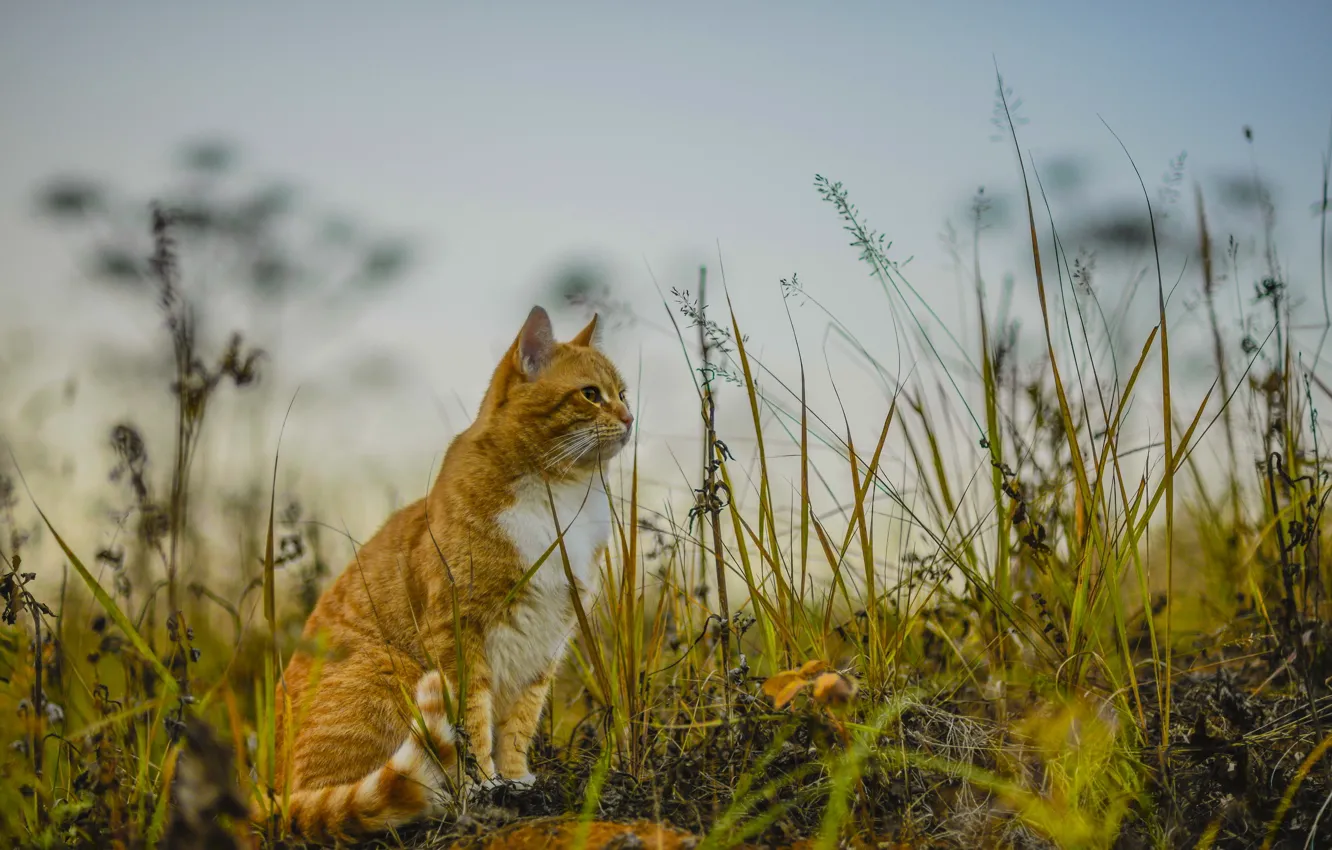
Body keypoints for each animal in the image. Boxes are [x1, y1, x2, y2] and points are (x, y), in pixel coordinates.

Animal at [265, 306, 634, 842]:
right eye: (591, 394)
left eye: (624, 393)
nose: (630, 418)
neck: (560, 497)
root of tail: (275, 797)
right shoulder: (459, 629)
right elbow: (474, 720)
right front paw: (482, 786)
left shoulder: (546, 642)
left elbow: (519, 722)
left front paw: (516, 780)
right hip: (390, 667)